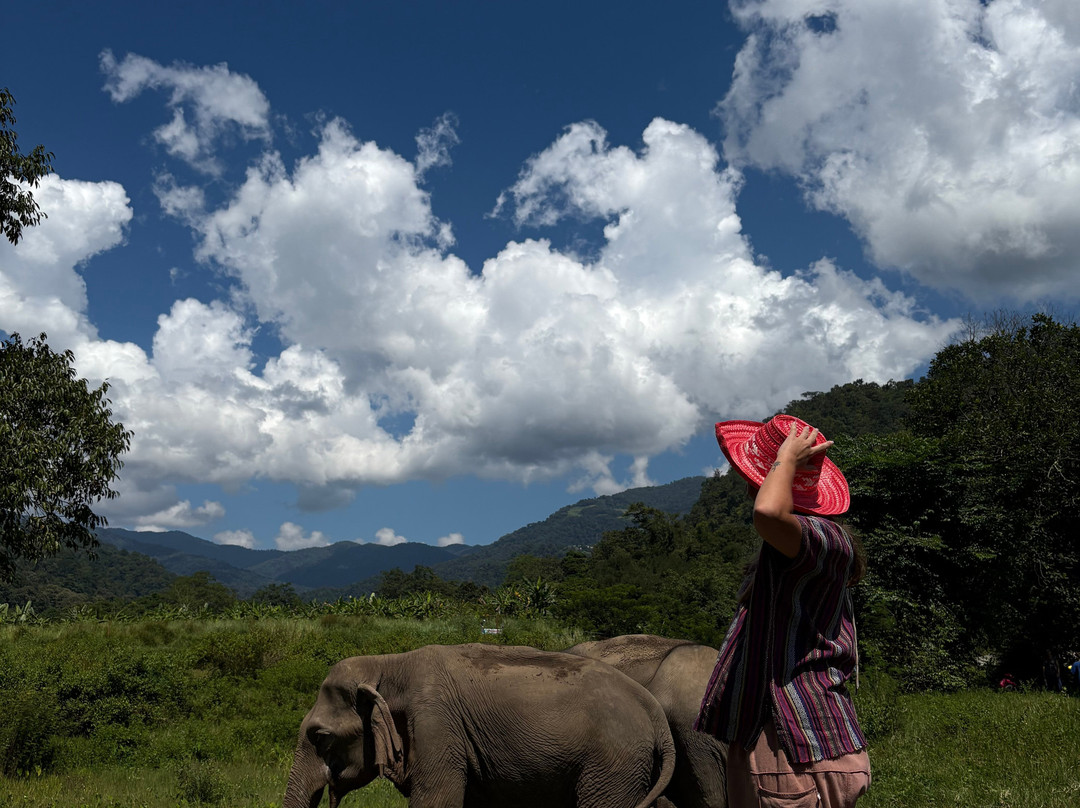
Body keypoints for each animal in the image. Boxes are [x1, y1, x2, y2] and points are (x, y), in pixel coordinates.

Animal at [284, 642, 676, 808]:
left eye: (321, 737)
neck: (390, 664)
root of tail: (654, 711)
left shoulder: (436, 725)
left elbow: (438, 801)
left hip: (612, 762)